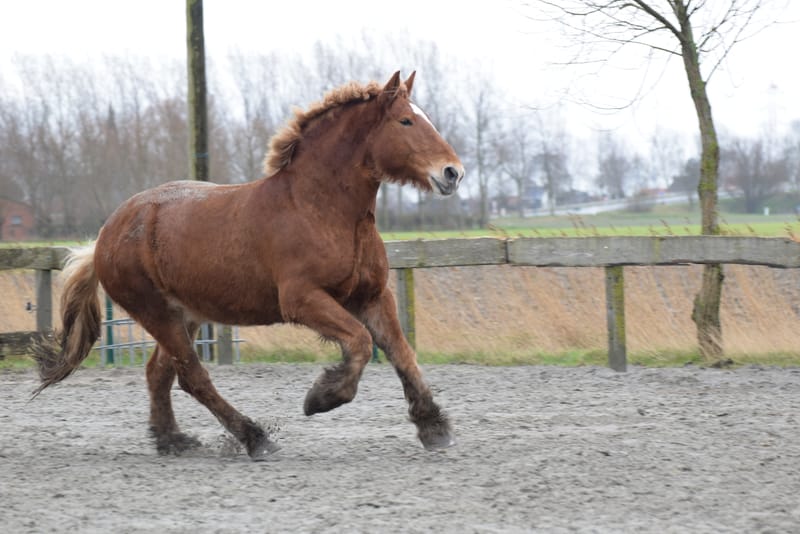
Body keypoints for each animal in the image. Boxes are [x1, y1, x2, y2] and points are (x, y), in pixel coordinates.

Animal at [32, 71, 465, 460]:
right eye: (405, 120)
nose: (453, 173)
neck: (321, 209)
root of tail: (107, 233)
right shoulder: (302, 300)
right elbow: (359, 342)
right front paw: (322, 397)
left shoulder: (373, 296)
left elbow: (402, 353)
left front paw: (434, 427)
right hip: (157, 313)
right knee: (193, 377)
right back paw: (255, 438)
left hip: (183, 315)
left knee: (160, 372)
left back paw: (173, 441)